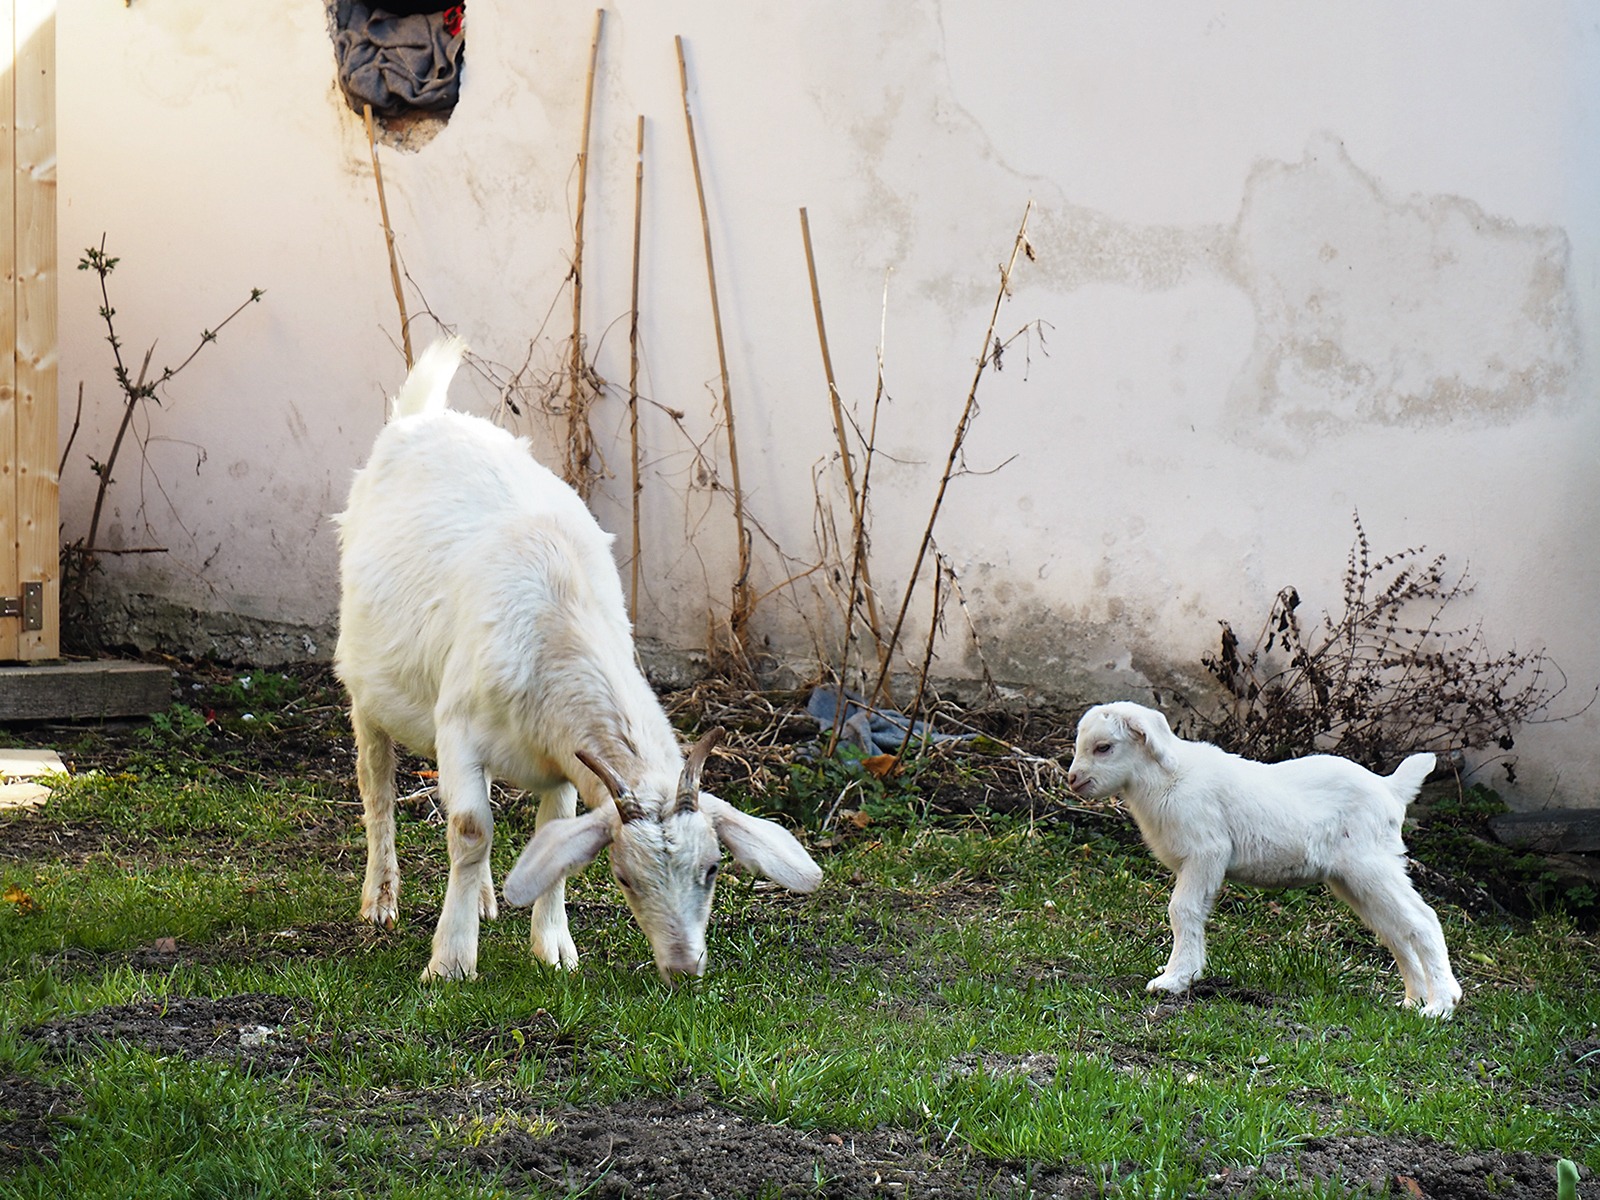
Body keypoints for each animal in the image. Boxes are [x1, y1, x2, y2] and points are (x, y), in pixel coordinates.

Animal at [329, 340, 819, 985]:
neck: (561, 616)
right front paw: (451, 961)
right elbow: (470, 829)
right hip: (366, 689)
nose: (683, 969)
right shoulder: (458, 730)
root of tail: (420, 417)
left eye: (713, 868)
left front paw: (553, 947)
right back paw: (381, 899)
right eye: (624, 877)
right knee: (378, 785)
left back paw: (482, 898)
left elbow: (549, 834)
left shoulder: (558, 757)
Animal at [1062, 700, 1465, 1017]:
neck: (1165, 779)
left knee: (1423, 920)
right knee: (1395, 931)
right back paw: (1413, 1000)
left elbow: (1183, 910)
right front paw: (1185, 972)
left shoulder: (1207, 852)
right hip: (1355, 879)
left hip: (1371, 865)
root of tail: (1390, 788)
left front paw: (1174, 979)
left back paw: (1440, 1005)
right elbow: (1191, 912)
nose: (1073, 780)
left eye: (1104, 747)